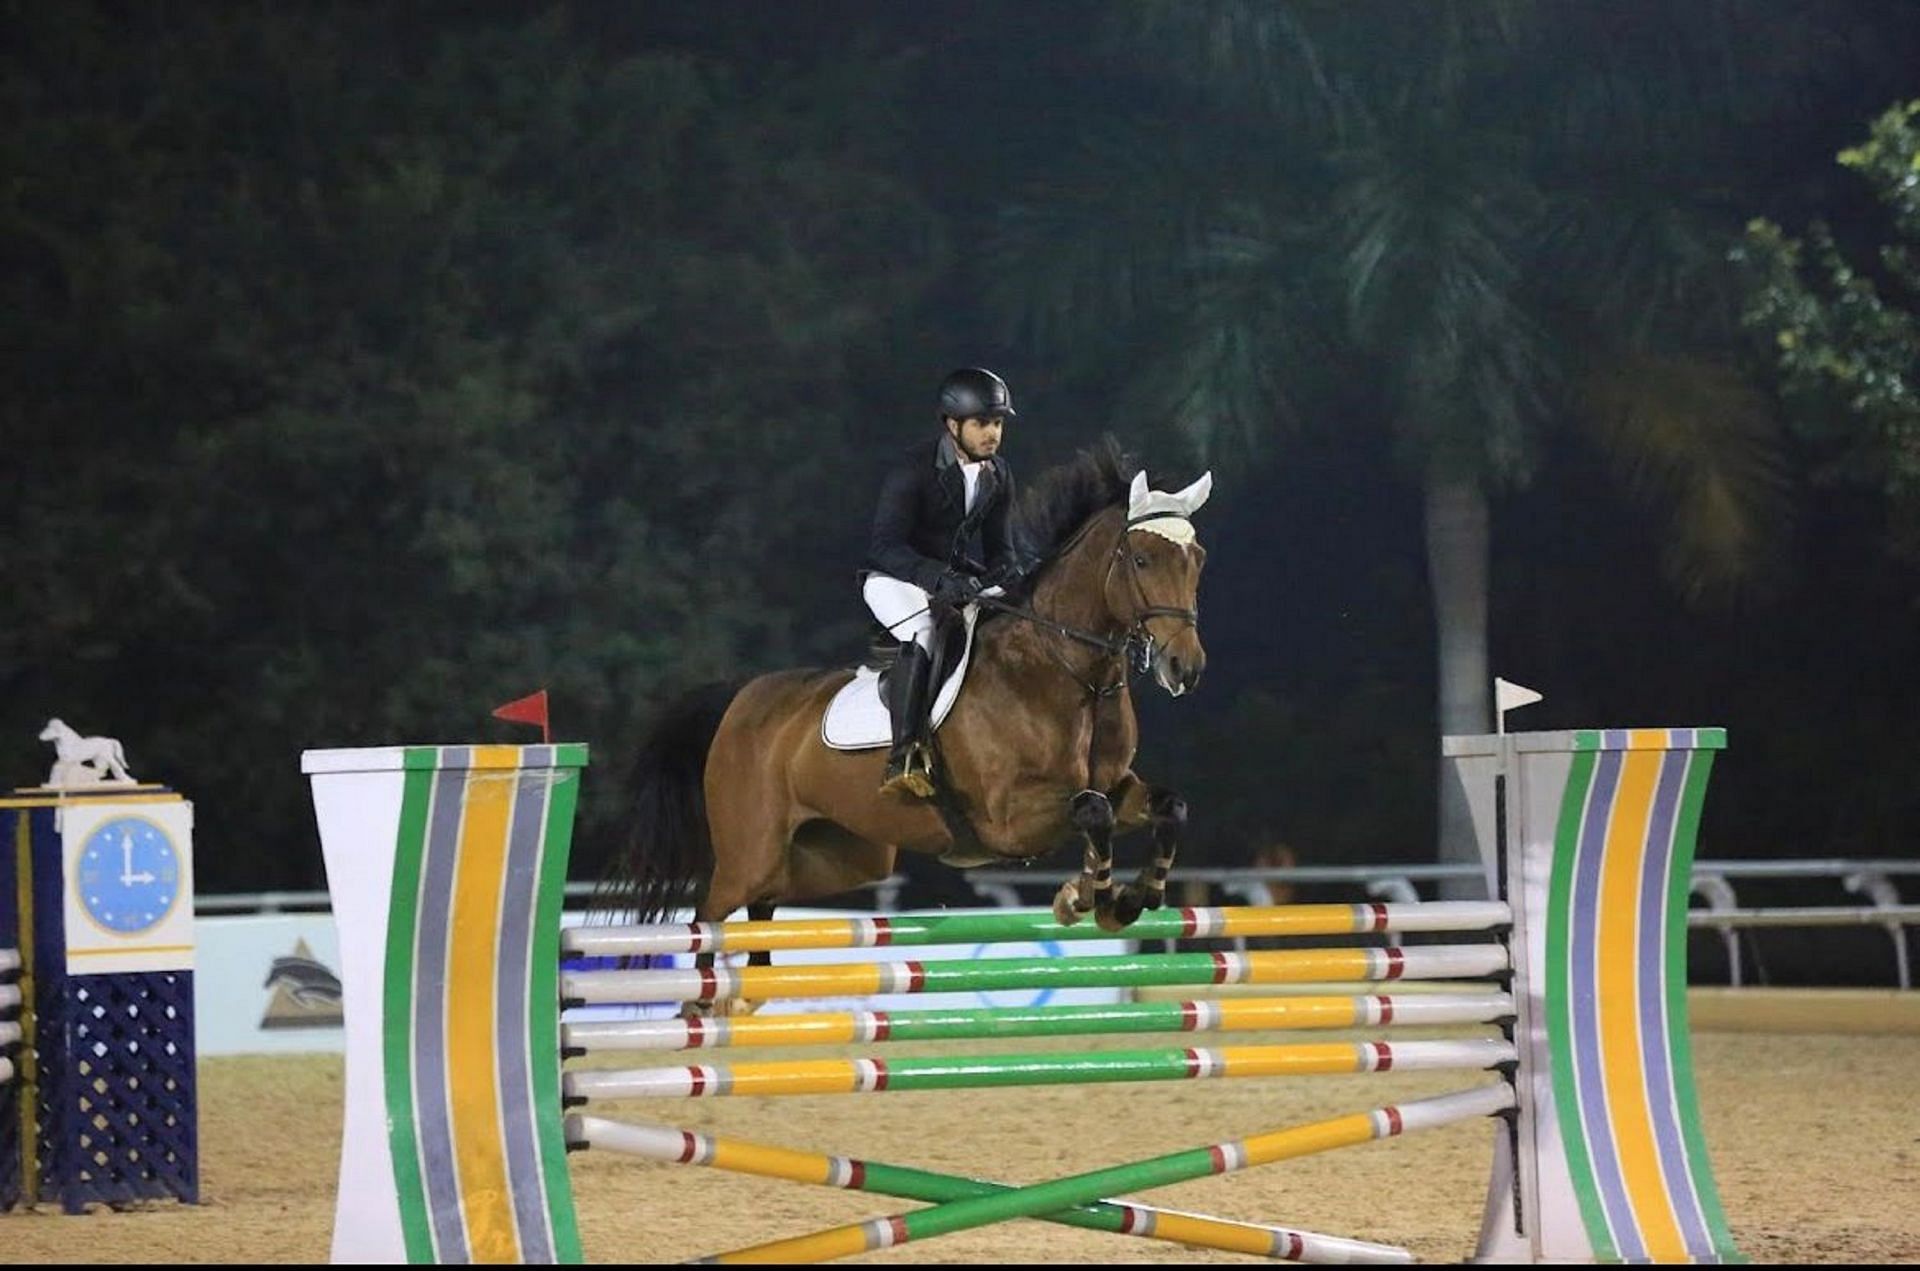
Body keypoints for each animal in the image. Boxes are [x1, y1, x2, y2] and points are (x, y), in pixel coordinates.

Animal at [610, 443, 1213, 998]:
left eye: (1197, 559)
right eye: (1141, 560)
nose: (1184, 668)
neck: (1067, 671)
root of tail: (741, 698)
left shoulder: (1115, 784)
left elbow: (1167, 806)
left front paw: (1130, 897)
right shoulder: (1009, 821)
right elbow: (1093, 812)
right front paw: (1088, 899)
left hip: (838, 857)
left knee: (762, 907)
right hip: (750, 851)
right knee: (707, 917)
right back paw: (703, 1005)